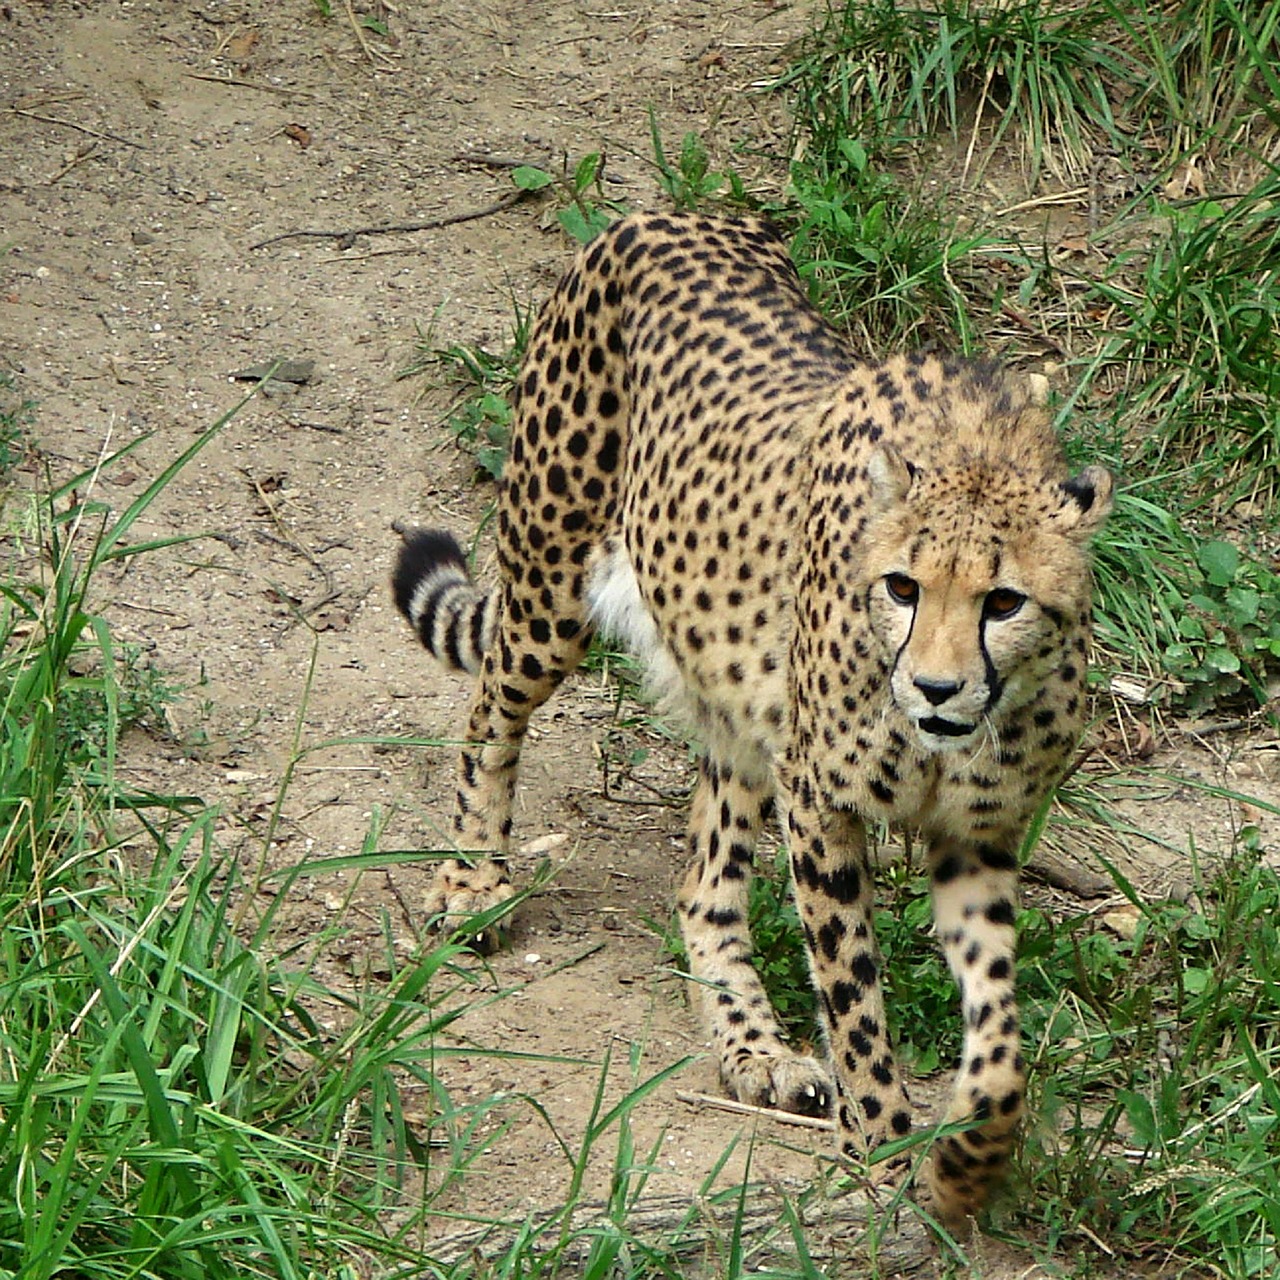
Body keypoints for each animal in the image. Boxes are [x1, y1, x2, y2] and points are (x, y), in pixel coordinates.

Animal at [394, 212, 1116, 1228]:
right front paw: (881, 1143)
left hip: (738, 703)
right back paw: (470, 882)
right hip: (550, 593)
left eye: (1003, 601)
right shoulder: (820, 804)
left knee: (702, 883)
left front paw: (968, 1161)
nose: (935, 689)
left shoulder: (977, 839)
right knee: (489, 711)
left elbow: (1002, 1038)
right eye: (903, 588)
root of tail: (656, 213)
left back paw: (755, 1049)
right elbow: (853, 992)